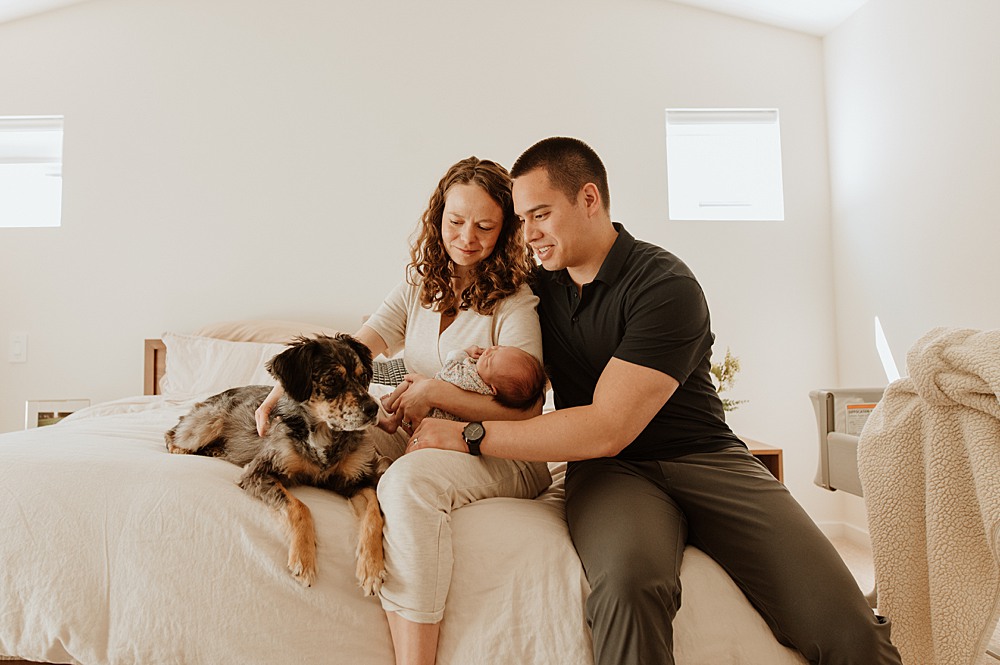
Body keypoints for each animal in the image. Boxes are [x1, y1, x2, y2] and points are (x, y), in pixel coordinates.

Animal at [164, 332, 386, 592]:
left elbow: (374, 514)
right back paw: (180, 449)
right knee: (173, 432)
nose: (374, 408)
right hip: (208, 422)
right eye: (331, 380)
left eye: (363, 377)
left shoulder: (359, 480)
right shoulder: (258, 472)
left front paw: (372, 568)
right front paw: (304, 558)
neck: (324, 435)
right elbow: (300, 507)